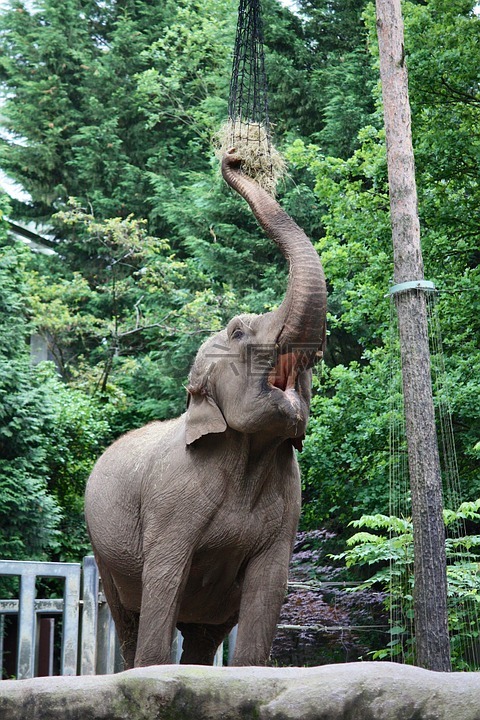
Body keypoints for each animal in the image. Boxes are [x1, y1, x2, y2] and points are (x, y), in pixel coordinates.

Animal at [84, 149, 327, 668]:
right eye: (237, 331)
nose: (233, 157)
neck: (249, 453)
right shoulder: (169, 501)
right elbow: (164, 580)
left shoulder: (289, 505)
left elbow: (268, 589)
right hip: (103, 550)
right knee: (129, 619)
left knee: (202, 636)